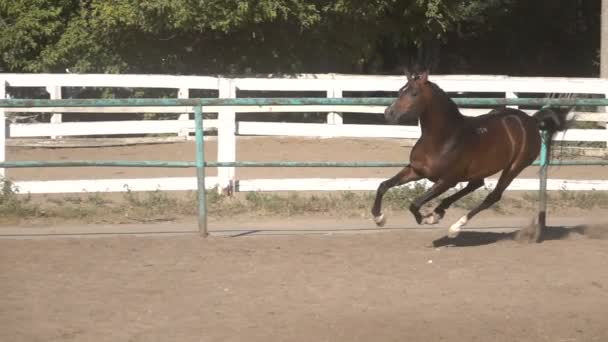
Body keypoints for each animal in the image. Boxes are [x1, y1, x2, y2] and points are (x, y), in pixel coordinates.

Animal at [370, 69, 568, 240]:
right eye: (399, 91)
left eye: (414, 93)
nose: (388, 113)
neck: (443, 138)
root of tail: (531, 120)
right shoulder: (416, 171)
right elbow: (383, 185)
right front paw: (379, 218)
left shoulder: (447, 180)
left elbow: (415, 203)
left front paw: (425, 219)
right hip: (479, 171)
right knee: (475, 184)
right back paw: (439, 212)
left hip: (514, 167)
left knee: (492, 196)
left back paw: (454, 226)